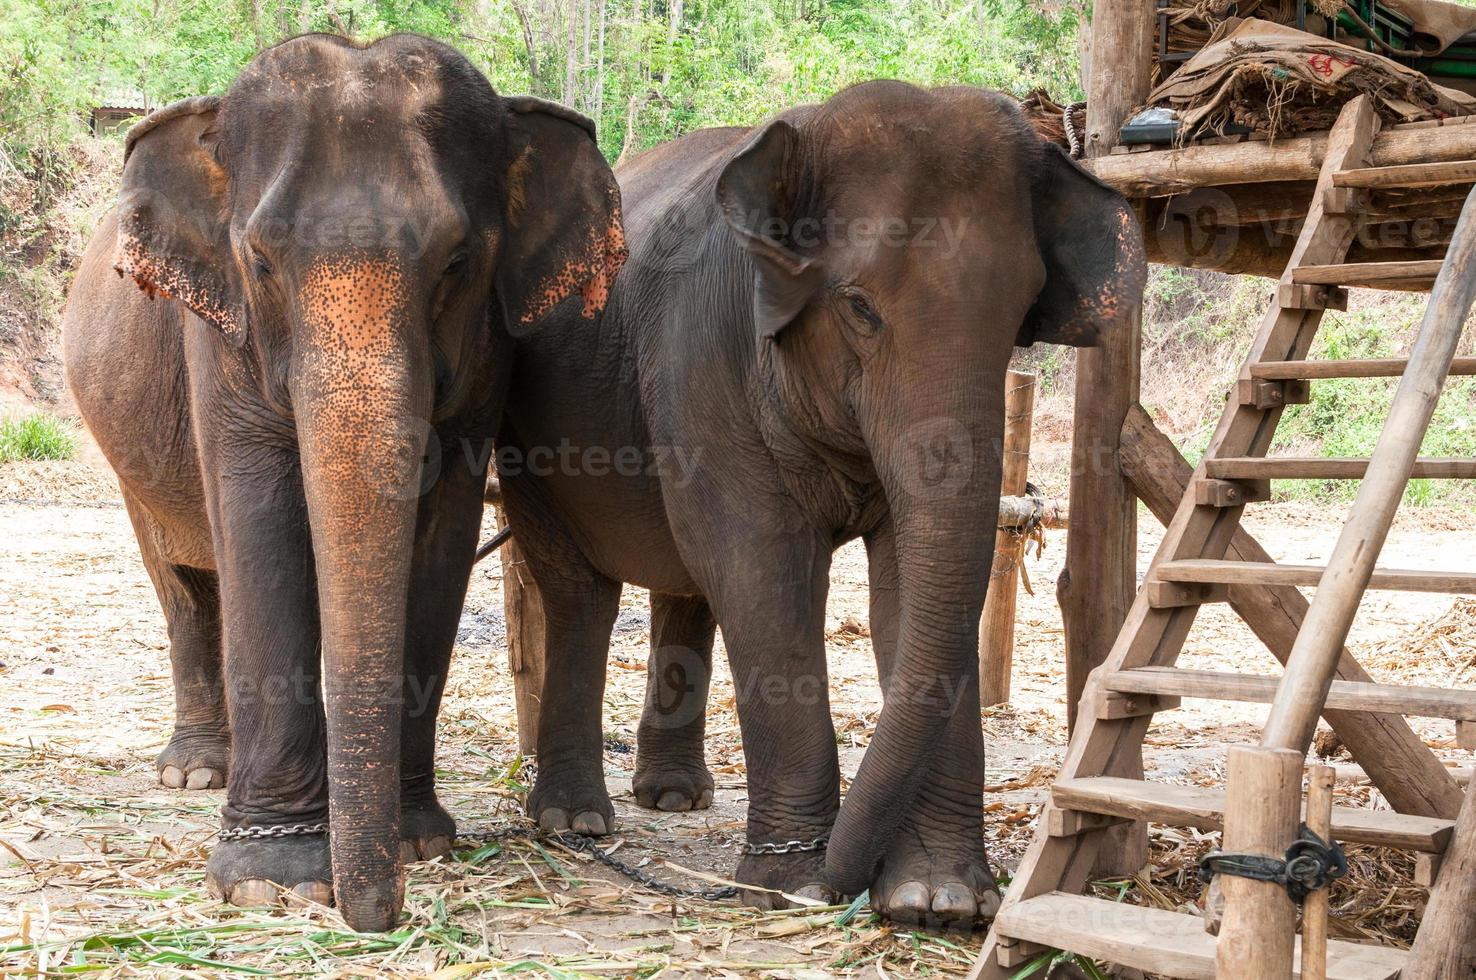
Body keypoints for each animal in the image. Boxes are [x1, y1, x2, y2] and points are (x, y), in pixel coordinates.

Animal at [60, 34, 625, 932]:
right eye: (259, 259)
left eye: (458, 261)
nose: (380, 912)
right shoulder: (218, 334)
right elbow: (261, 523)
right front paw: (272, 881)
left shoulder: (487, 357)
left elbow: (441, 536)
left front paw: (419, 840)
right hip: (126, 460)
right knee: (182, 584)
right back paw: (196, 772)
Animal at [495, 78, 1139, 926]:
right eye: (859, 307)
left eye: (1021, 316)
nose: (839, 881)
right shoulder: (704, 354)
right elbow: (758, 565)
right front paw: (788, 885)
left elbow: (907, 581)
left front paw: (939, 901)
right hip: (527, 441)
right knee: (583, 593)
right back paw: (576, 821)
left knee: (685, 588)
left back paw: (672, 797)